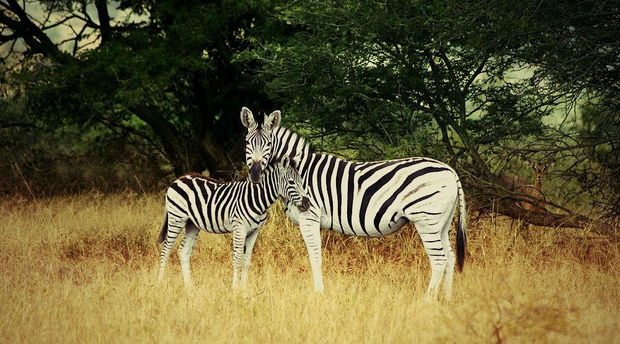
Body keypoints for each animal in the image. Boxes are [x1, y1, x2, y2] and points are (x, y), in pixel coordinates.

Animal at [155, 155, 310, 288]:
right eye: (291, 182)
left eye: (302, 182)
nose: (307, 204)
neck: (257, 199)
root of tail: (180, 178)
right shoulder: (239, 228)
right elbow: (237, 259)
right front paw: (235, 288)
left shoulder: (254, 231)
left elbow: (246, 261)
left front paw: (244, 288)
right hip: (176, 218)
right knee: (165, 249)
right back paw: (160, 282)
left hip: (192, 224)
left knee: (184, 251)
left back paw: (189, 286)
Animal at [240, 107, 468, 298]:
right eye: (247, 143)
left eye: (268, 144)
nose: (255, 174)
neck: (300, 171)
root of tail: (450, 170)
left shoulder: (309, 216)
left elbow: (315, 256)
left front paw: (318, 293)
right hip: (442, 222)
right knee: (450, 257)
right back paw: (446, 299)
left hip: (426, 220)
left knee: (439, 260)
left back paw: (427, 301)